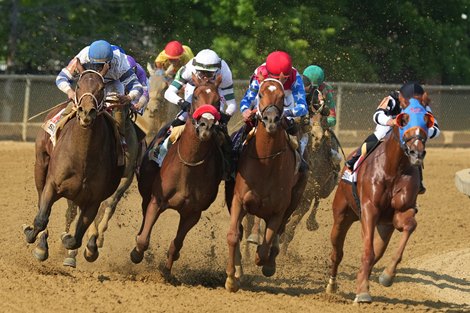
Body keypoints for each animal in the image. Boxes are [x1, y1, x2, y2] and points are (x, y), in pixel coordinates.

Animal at [22, 62, 123, 260]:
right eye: (78, 86)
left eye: (102, 88)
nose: (86, 112)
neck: (83, 157)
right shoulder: (52, 184)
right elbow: (41, 218)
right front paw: (34, 237)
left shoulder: (93, 200)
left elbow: (76, 237)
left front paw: (72, 243)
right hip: (41, 164)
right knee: (41, 203)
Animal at [129, 74, 224, 274]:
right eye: (195, 97)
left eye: (218, 100)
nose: (206, 126)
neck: (189, 166)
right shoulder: (157, 200)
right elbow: (143, 239)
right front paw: (136, 254)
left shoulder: (193, 213)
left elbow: (176, 244)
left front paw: (167, 271)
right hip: (146, 191)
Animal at [224, 78, 308, 292]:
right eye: (260, 93)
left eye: (282, 96)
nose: (271, 120)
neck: (266, 160)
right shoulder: (238, 200)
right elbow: (233, 235)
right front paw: (231, 278)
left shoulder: (278, 210)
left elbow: (265, 245)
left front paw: (263, 262)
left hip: (295, 199)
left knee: (279, 233)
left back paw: (270, 262)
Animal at [326, 98, 434, 302]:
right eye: (403, 120)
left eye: (427, 121)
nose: (416, 153)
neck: (394, 168)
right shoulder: (369, 209)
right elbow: (367, 251)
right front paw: (363, 292)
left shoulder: (401, 212)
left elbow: (409, 226)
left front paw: (386, 276)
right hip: (342, 215)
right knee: (337, 251)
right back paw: (332, 286)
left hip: (385, 226)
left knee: (378, 250)